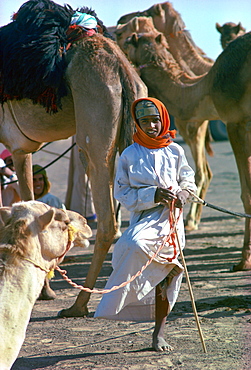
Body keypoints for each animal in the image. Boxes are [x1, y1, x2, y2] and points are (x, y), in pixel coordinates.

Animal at [0, 1, 147, 316]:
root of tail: (120, 66)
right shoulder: (21, 150)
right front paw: (45, 290)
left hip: (93, 131)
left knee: (107, 223)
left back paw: (79, 305)